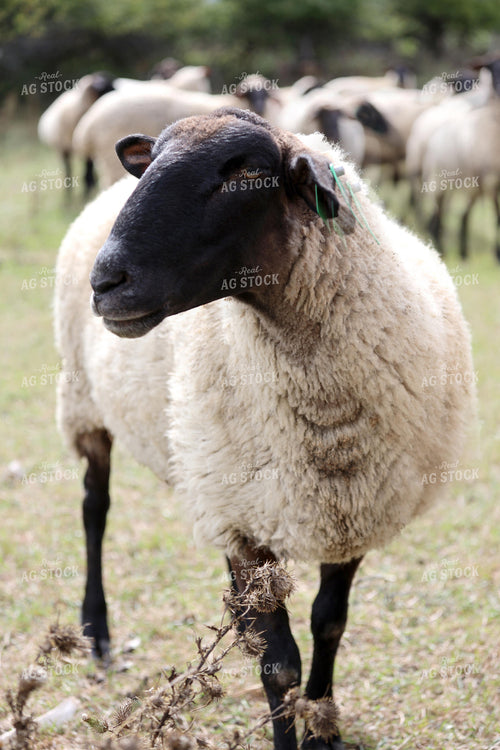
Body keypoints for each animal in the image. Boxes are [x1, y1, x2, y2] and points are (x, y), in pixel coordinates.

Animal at [55, 108, 475, 750]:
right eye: (150, 164)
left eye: (246, 174)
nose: (107, 282)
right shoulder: (238, 518)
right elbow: (278, 663)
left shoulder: (356, 505)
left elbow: (329, 626)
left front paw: (324, 729)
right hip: (85, 404)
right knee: (93, 508)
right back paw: (96, 631)